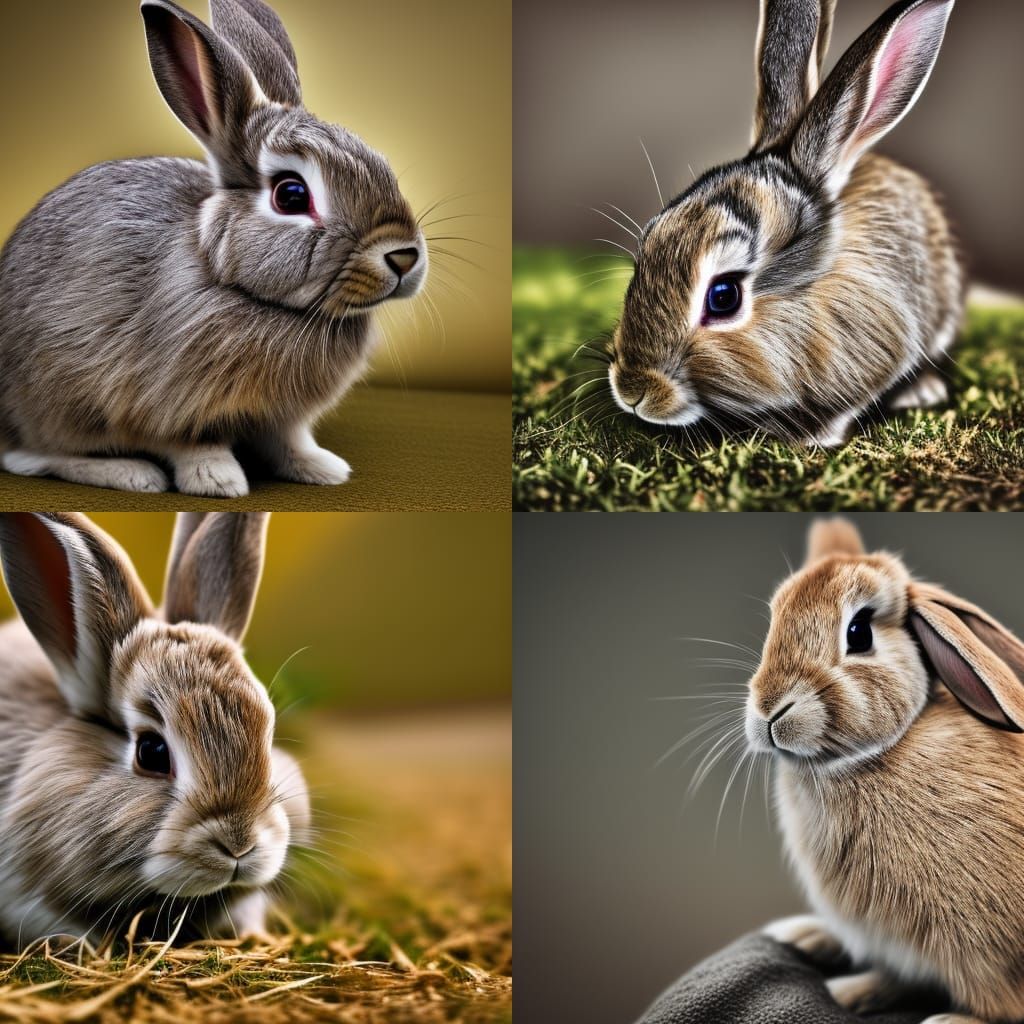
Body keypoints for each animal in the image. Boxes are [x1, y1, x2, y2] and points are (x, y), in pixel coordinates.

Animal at [0, 0, 427, 497]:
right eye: (292, 195)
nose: (403, 256)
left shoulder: (282, 418)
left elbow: (289, 441)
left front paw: (322, 469)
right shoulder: (164, 403)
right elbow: (193, 444)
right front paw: (219, 481)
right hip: (55, 403)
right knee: (32, 455)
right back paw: (131, 473)